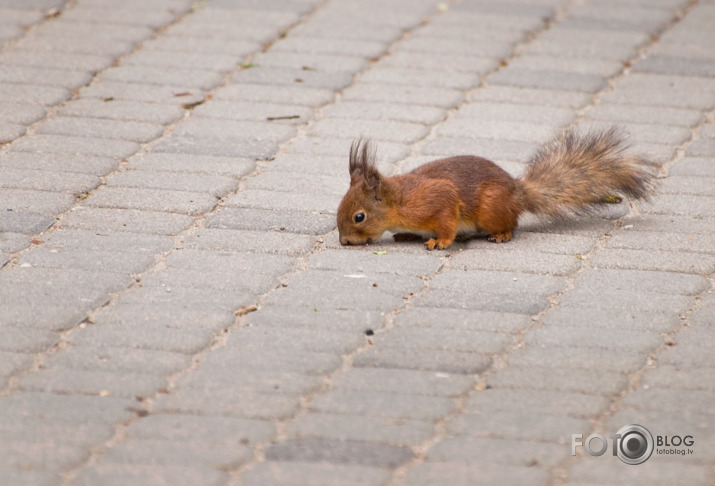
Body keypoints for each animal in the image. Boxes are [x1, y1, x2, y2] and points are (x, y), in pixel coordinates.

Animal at [338, 128, 656, 251]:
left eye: (359, 217)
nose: (344, 241)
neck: (398, 202)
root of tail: (517, 193)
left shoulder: (436, 200)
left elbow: (447, 220)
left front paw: (440, 241)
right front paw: (404, 235)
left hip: (491, 208)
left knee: (511, 225)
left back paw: (501, 234)